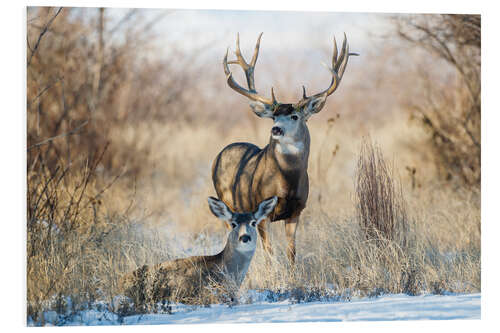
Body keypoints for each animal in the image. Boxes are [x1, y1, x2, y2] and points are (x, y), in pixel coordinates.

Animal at [211, 33, 356, 262]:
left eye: (294, 116)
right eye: (274, 116)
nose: (276, 129)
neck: (287, 181)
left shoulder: (296, 211)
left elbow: (291, 252)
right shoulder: (262, 212)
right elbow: (270, 253)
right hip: (227, 202)